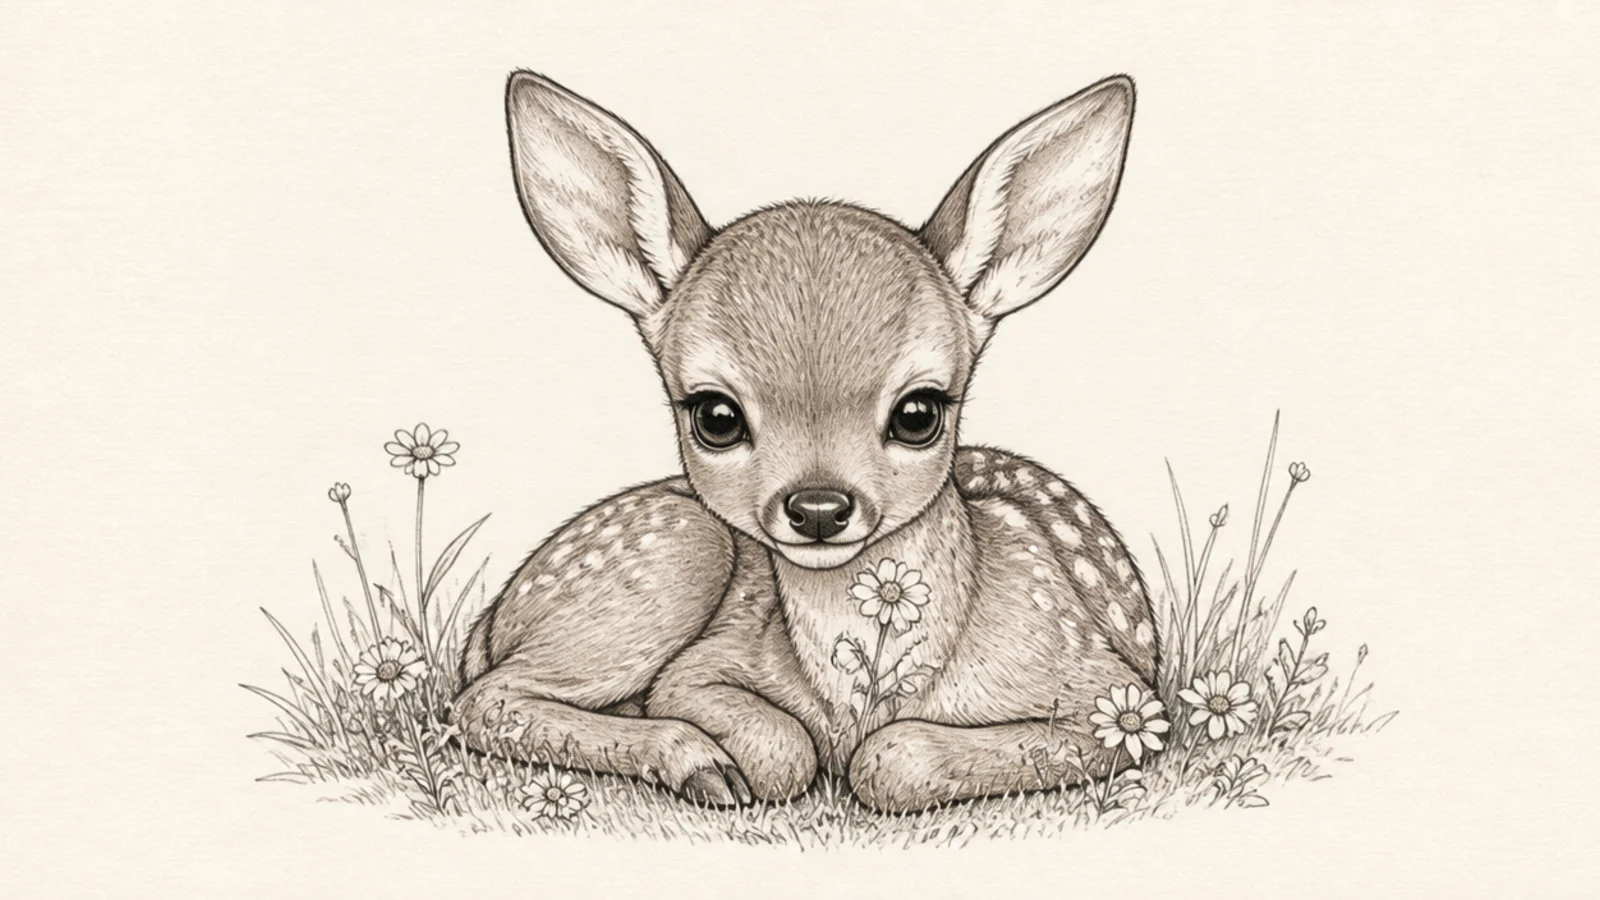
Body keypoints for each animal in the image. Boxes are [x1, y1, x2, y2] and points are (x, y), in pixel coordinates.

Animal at [452, 70, 1160, 813]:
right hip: (673, 553)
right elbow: (780, 747)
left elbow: (893, 757)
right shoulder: (701, 668)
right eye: (715, 415)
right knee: (485, 698)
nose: (818, 507)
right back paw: (696, 762)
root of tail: (491, 621)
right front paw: (728, 761)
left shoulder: (1112, 690)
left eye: (919, 412)